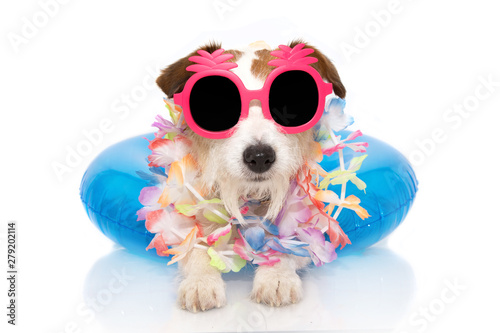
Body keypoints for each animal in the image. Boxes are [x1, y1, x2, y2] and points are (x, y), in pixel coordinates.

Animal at [154, 39, 346, 312]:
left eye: (291, 103)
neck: (249, 195)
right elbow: (197, 248)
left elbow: (287, 245)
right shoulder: (187, 227)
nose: (260, 156)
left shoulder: (304, 228)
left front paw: (277, 275)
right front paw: (201, 281)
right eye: (216, 107)